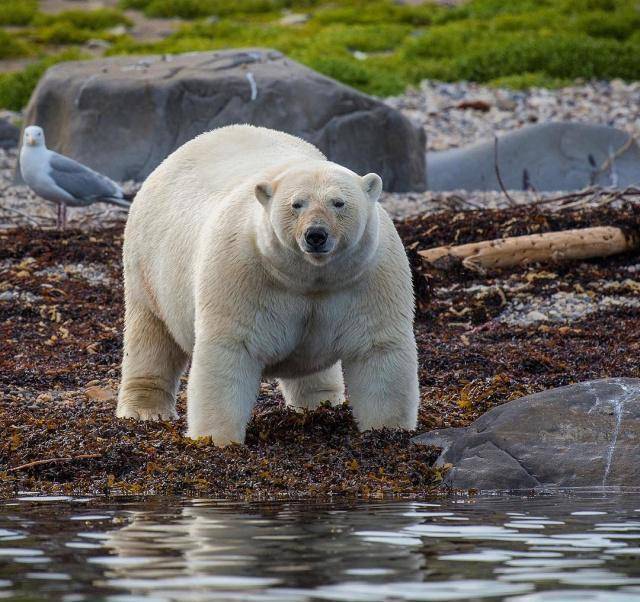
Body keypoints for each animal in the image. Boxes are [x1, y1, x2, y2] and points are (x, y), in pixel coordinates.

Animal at [117, 124, 420, 442]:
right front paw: (216, 439)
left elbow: (378, 347)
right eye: (296, 204)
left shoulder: (369, 274)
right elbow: (229, 348)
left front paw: (388, 432)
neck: (309, 277)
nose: (316, 234)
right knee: (151, 337)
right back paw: (145, 410)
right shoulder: (241, 270)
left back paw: (320, 402)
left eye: (339, 202)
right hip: (147, 266)